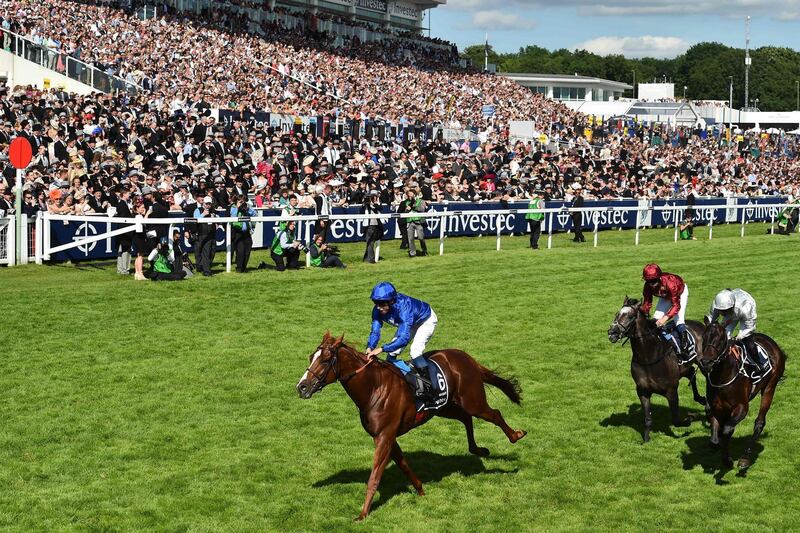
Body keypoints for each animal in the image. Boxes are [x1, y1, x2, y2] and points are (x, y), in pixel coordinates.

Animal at [294, 332, 524, 520]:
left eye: (325, 359)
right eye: (311, 357)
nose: (301, 387)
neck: (374, 387)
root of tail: (466, 357)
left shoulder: (384, 436)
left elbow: (374, 476)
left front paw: (363, 514)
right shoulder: (387, 436)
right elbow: (403, 464)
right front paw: (420, 489)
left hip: (473, 401)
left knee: (494, 414)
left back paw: (516, 435)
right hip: (445, 406)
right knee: (466, 419)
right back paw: (477, 449)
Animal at [608, 298, 708, 442]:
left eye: (630, 316)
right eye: (617, 314)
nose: (612, 333)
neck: (649, 356)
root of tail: (700, 324)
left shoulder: (671, 390)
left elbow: (676, 420)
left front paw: (690, 418)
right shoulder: (643, 391)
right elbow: (648, 418)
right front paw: (646, 438)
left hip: (704, 363)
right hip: (683, 368)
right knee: (690, 374)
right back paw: (700, 399)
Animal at [700, 316, 788, 470]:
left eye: (721, 339)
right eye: (704, 337)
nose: (706, 362)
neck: (723, 376)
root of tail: (773, 344)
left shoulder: (741, 407)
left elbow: (727, 429)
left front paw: (727, 460)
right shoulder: (715, 407)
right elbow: (715, 438)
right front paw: (718, 447)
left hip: (770, 387)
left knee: (759, 422)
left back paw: (745, 458)